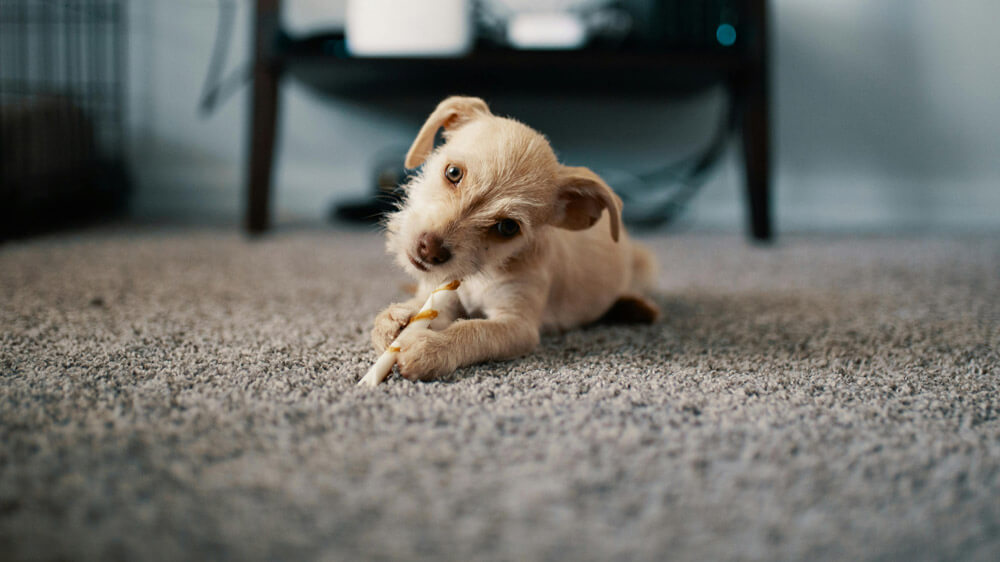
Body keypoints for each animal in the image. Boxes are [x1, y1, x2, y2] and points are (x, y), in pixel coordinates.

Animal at [372, 96, 660, 378]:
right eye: (453, 173)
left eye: (508, 227)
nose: (430, 250)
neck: (481, 274)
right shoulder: (443, 294)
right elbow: (425, 307)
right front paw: (396, 319)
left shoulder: (518, 325)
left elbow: (474, 331)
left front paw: (431, 347)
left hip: (644, 263)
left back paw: (634, 307)